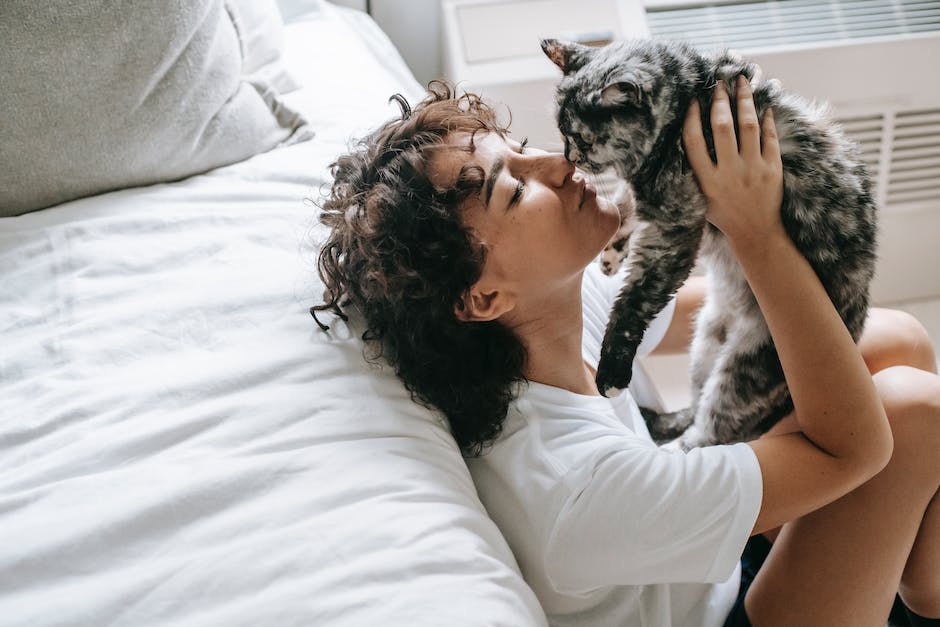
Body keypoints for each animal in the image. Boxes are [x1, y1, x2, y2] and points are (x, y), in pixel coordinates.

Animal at [540, 39, 876, 448]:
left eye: (583, 139)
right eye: (563, 133)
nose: (570, 159)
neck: (691, 92)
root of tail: (854, 331)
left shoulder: (675, 227)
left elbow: (633, 302)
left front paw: (612, 372)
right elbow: (622, 205)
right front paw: (612, 255)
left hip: (746, 367)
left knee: (712, 432)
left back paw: (676, 445)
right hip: (704, 345)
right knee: (698, 406)